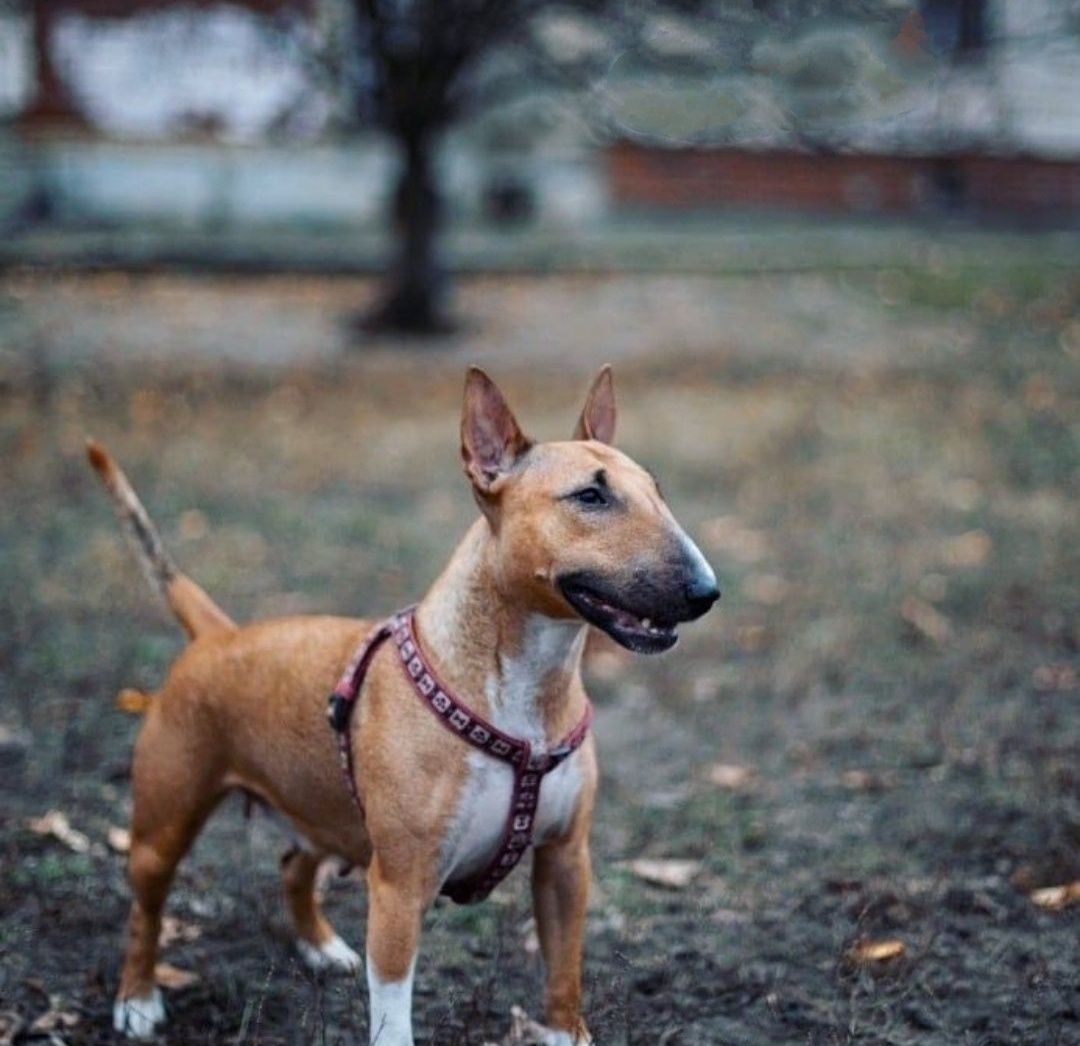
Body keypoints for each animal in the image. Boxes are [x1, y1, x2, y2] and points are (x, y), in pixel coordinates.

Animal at [90, 362, 717, 1040]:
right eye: (590, 497)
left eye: (658, 492)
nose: (707, 591)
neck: (525, 692)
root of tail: (217, 634)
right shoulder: (399, 886)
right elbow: (393, 1010)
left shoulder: (565, 862)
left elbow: (563, 969)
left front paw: (563, 1034)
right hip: (164, 824)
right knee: (145, 910)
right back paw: (137, 1000)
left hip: (317, 807)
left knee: (292, 863)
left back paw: (321, 947)